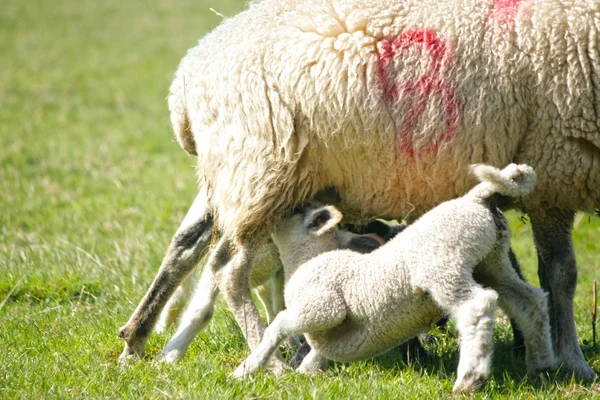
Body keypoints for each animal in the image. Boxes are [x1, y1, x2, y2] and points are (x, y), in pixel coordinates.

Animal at [231, 164, 552, 392]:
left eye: (294, 208)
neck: (308, 259)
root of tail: (476, 198)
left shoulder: (322, 307)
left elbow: (277, 326)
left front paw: (246, 370)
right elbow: (315, 355)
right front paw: (304, 373)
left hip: (445, 266)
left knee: (477, 307)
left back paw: (470, 380)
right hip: (492, 262)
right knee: (530, 302)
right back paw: (541, 366)